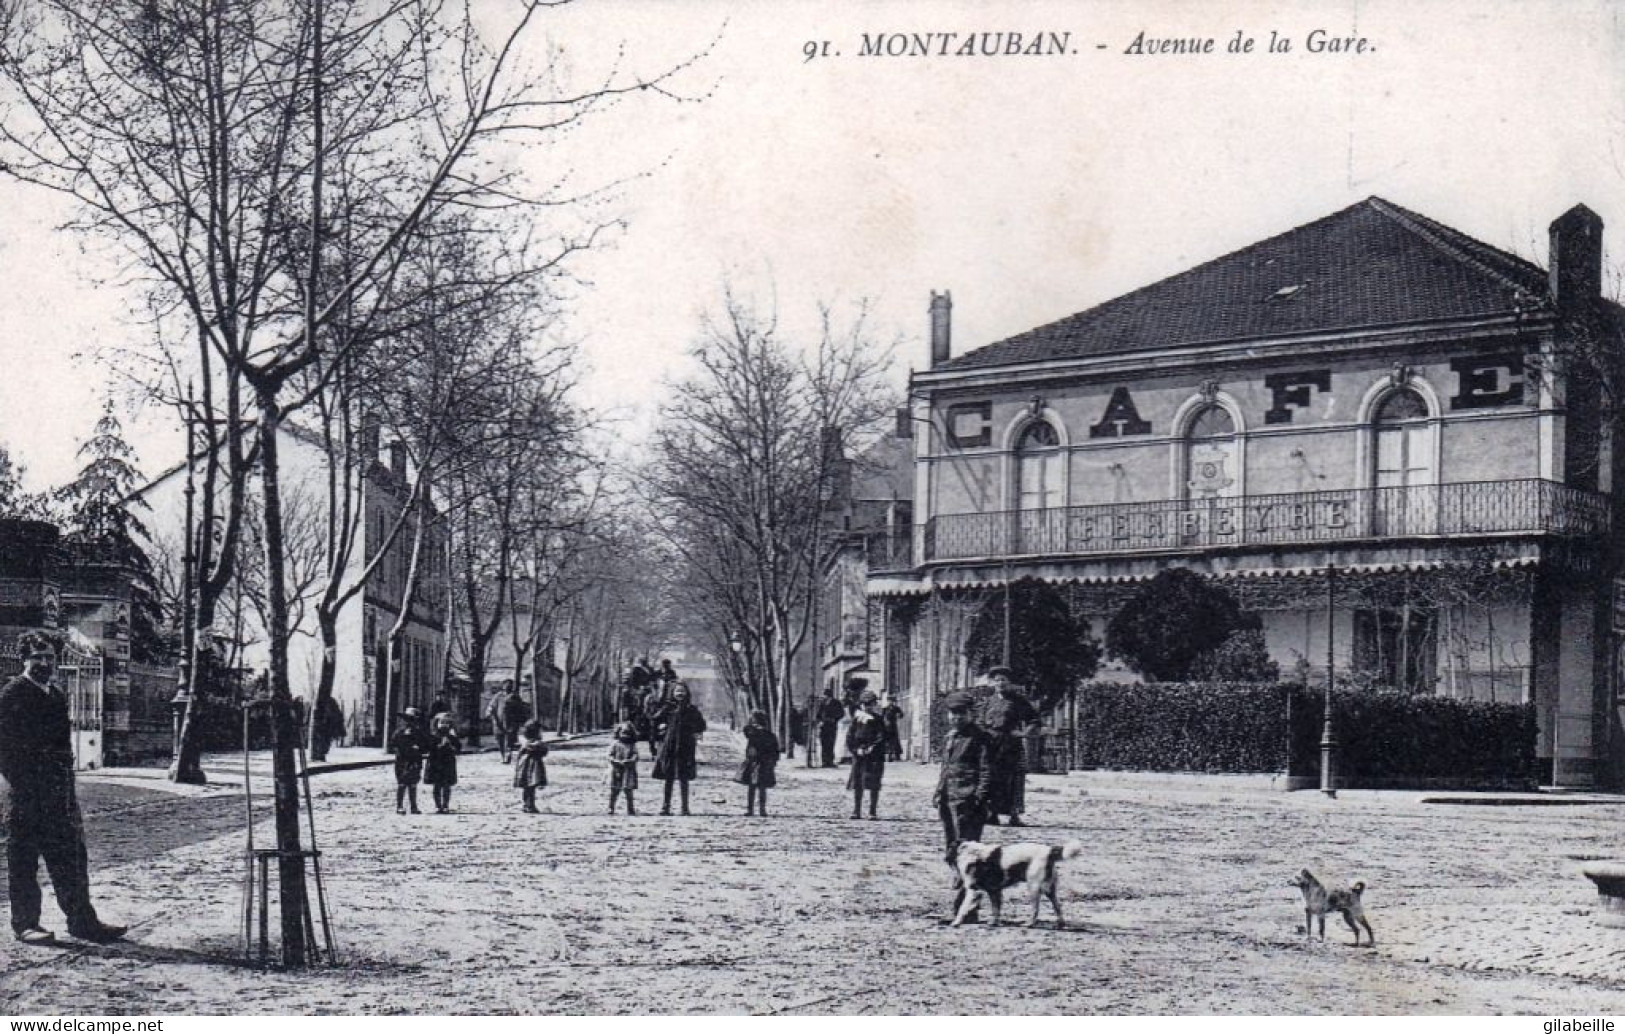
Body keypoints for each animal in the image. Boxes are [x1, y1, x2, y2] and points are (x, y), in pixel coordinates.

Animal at [949, 838, 1085, 929]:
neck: (968, 851)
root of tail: (1049, 851)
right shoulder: (994, 891)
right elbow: (996, 909)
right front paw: (994, 922)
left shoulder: (974, 891)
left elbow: (962, 908)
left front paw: (956, 922)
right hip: (1050, 890)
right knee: (1058, 907)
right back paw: (1060, 924)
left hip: (1033, 888)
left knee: (1035, 909)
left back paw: (1029, 924)